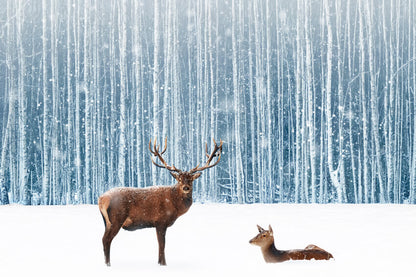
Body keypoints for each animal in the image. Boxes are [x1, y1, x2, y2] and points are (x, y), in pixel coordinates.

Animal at [98, 137, 223, 266]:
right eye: (179, 179)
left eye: (191, 179)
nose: (186, 187)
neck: (175, 206)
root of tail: (102, 199)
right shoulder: (161, 221)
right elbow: (162, 245)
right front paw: (163, 264)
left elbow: (160, 245)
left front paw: (159, 263)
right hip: (116, 218)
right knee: (106, 240)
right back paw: (108, 264)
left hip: (106, 222)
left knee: (103, 239)